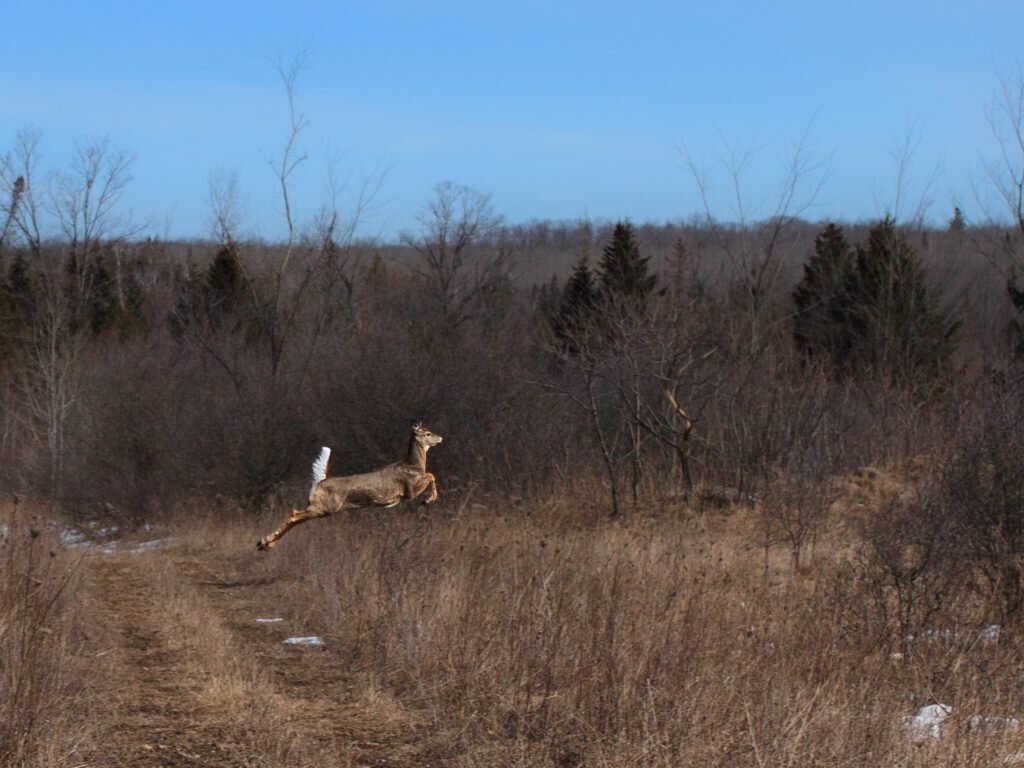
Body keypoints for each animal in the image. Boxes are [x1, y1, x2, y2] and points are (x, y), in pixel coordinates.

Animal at [253, 421, 442, 552]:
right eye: (427, 433)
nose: (440, 438)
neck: (414, 465)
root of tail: (320, 482)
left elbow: (430, 475)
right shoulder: (409, 490)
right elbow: (431, 475)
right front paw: (428, 500)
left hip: (322, 507)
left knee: (297, 518)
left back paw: (265, 544)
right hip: (325, 506)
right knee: (294, 515)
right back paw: (265, 542)